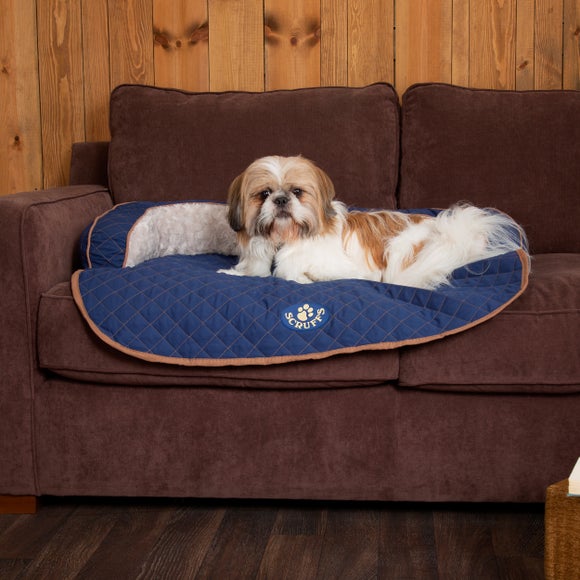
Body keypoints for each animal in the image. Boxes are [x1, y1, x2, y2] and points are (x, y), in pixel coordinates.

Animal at [216, 155, 524, 288]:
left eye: (297, 192)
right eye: (264, 194)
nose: (280, 200)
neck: (284, 239)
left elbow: (290, 275)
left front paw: (303, 277)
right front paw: (232, 273)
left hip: (400, 249)